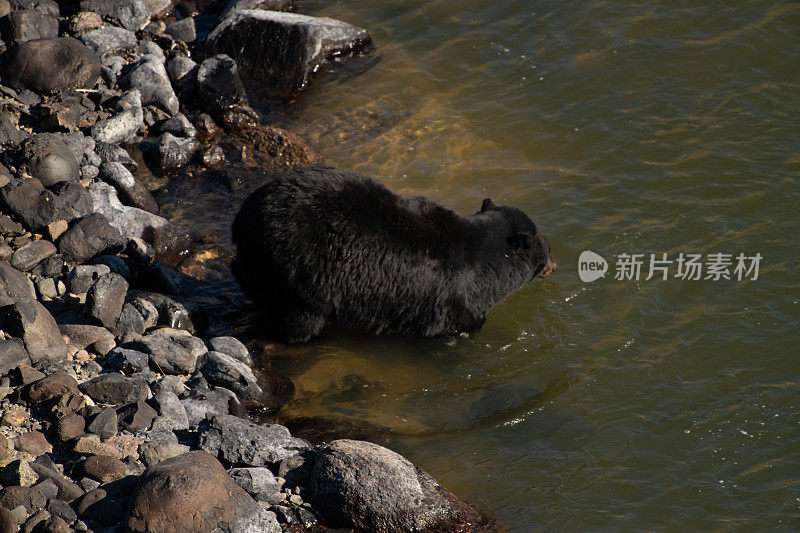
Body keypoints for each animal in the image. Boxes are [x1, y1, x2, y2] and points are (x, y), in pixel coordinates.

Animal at [233, 164, 556, 342]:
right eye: (547, 248)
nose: (555, 263)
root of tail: (243, 220)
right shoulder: (453, 300)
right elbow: (454, 325)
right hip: (299, 275)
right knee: (298, 319)